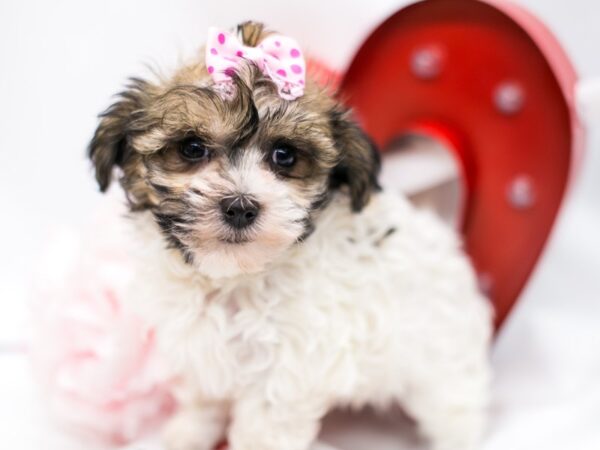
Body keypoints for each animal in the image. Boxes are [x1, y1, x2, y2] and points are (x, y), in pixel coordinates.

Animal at [89, 22, 492, 450]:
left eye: (285, 156)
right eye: (192, 147)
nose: (240, 207)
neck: (233, 280)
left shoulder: (283, 374)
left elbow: (263, 432)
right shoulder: (201, 350)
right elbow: (203, 399)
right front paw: (188, 433)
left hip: (443, 364)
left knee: (457, 407)